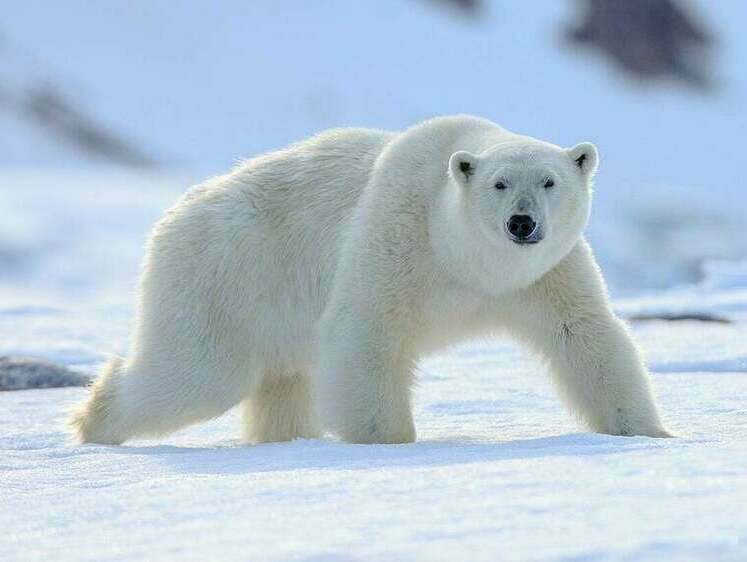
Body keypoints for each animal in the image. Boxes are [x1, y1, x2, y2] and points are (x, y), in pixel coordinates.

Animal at [70, 116, 672, 444]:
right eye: (499, 184)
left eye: (549, 181)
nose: (522, 224)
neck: (466, 260)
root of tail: (174, 215)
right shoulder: (398, 234)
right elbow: (367, 331)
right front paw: (389, 441)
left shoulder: (545, 274)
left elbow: (585, 335)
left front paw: (649, 432)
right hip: (224, 277)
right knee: (195, 374)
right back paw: (92, 422)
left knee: (282, 384)